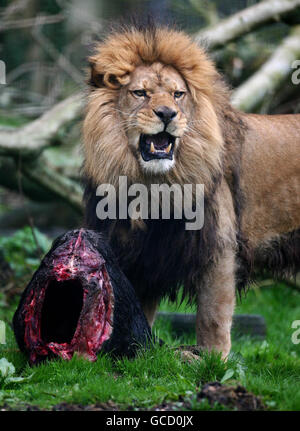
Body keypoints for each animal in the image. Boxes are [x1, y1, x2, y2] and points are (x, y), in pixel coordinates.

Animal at [81, 24, 300, 362]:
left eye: (177, 94)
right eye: (140, 93)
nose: (167, 114)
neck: (153, 185)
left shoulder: (219, 246)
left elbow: (213, 315)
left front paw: (212, 361)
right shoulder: (142, 250)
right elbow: (140, 308)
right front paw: (139, 353)